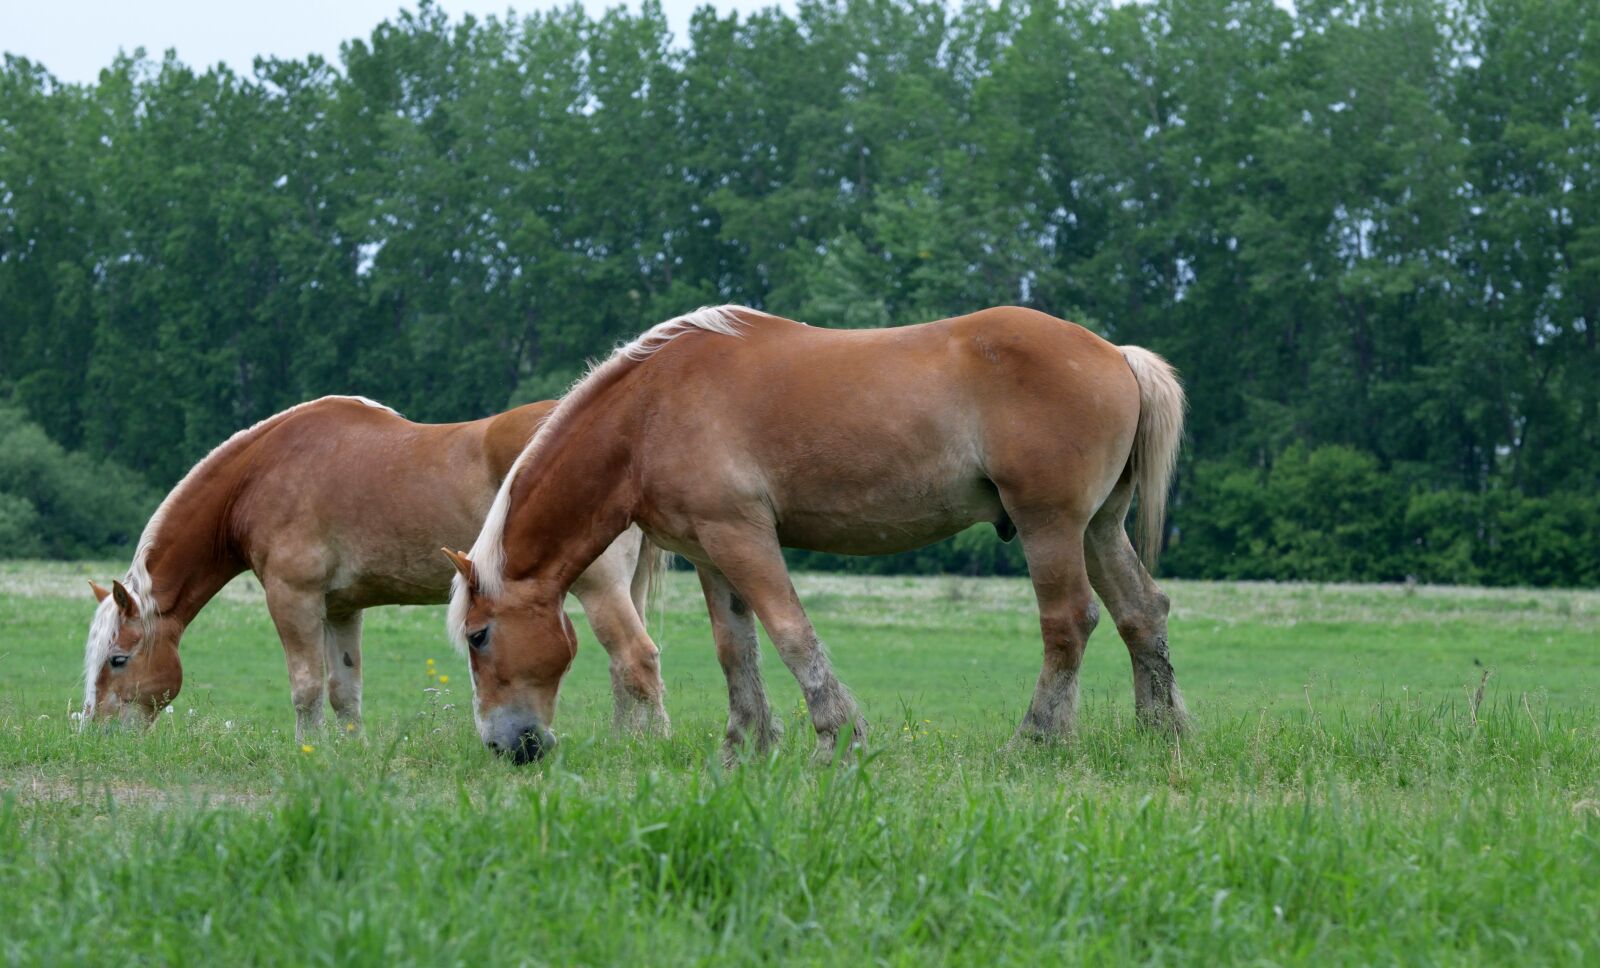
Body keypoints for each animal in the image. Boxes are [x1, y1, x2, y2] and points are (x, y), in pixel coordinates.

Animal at [82, 395, 671, 742]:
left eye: (117, 659)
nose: (96, 735)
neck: (260, 475)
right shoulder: (342, 608)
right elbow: (344, 689)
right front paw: (347, 753)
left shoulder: (293, 598)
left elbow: (305, 687)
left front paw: (307, 753)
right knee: (623, 668)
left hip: (599, 586)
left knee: (636, 657)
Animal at [444, 305, 1187, 765]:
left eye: (479, 636)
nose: (507, 746)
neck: (649, 409)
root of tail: (1116, 354)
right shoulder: (709, 553)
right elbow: (735, 650)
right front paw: (744, 745)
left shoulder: (742, 535)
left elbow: (790, 633)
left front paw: (836, 738)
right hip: (1098, 528)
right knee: (1140, 613)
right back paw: (1162, 732)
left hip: (1050, 526)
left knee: (1070, 622)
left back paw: (1036, 739)